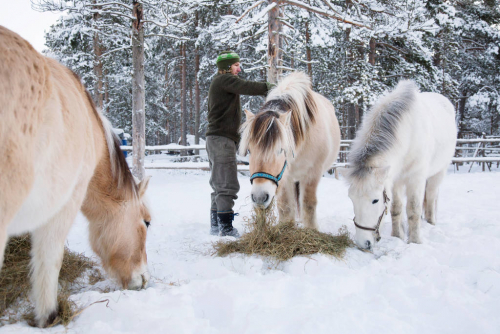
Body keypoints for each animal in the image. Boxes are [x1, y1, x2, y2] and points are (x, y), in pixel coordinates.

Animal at [238, 72, 340, 228]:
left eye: (281, 150)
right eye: (249, 150)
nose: (259, 197)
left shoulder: (312, 174)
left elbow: (308, 205)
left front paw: (312, 229)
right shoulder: (286, 178)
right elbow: (285, 207)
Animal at [344, 79, 458, 249]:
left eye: (375, 200)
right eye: (351, 198)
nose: (363, 243)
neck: (408, 133)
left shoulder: (416, 178)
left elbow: (413, 209)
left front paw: (415, 240)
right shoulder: (395, 180)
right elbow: (396, 209)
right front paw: (397, 235)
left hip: (438, 172)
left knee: (431, 196)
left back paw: (431, 222)